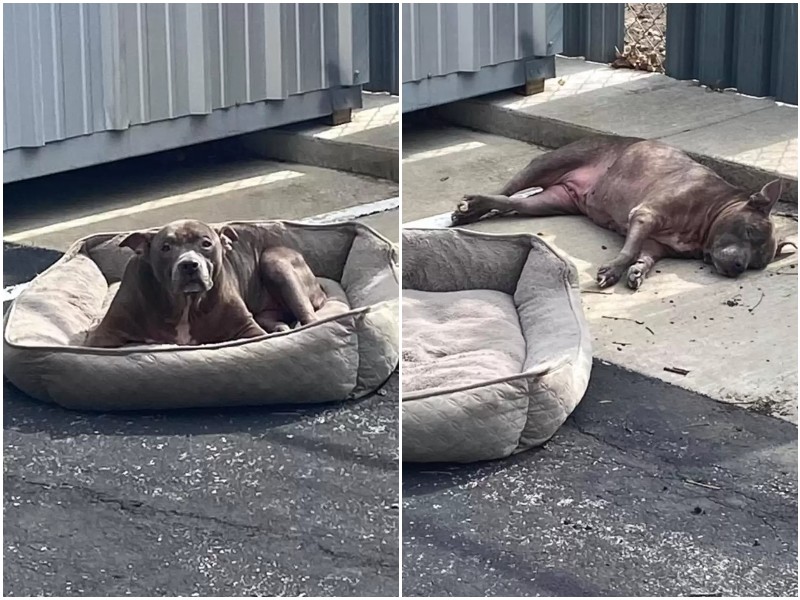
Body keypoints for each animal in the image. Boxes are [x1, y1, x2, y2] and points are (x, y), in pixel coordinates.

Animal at [84, 219, 324, 346]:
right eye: (165, 247)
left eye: (206, 244)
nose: (189, 264)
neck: (185, 304)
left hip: (274, 261)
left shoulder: (247, 329)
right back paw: (279, 326)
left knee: (310, 318)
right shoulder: (105, 333)